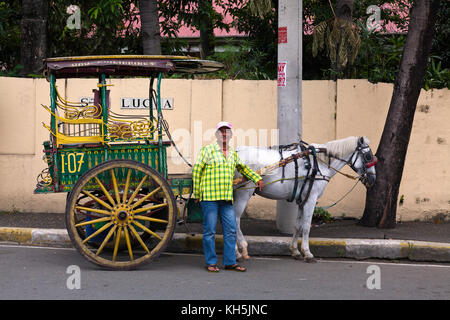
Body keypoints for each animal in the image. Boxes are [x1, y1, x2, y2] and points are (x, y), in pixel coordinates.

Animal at [232, 135, 376, 262]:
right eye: (368, 156)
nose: (372, 179)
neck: (319, 164)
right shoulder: (311, 199)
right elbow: (306, 227)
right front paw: (307, 253)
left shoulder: (303, 199)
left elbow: (298, 226)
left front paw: (295, 251)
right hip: (244, 193)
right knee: (235, 219)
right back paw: (239, 250)